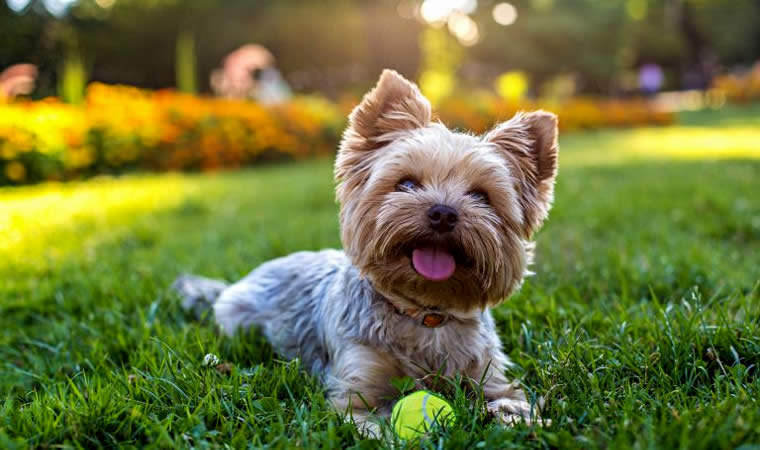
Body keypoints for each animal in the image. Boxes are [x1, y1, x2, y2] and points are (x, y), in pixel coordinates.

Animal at [177, 70, 560, 436]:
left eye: (481, 196)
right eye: (406, 183)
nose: (443, 213)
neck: (425, 314)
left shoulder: (489, 375)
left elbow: (509, 399)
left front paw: (522, 422)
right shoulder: (357, 389)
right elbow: (374, 424)